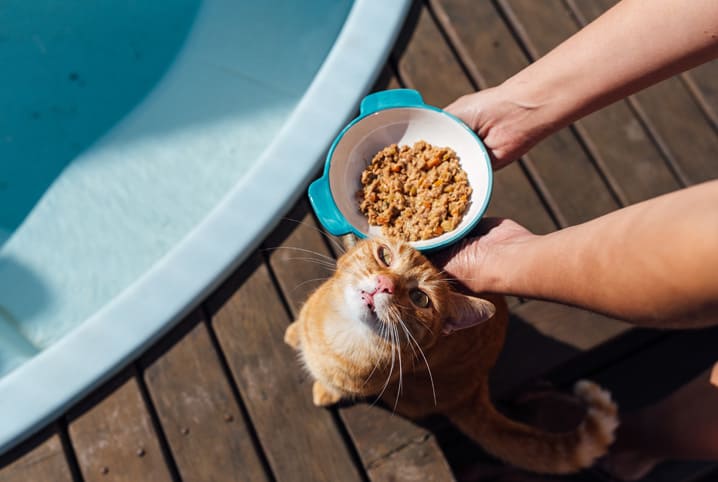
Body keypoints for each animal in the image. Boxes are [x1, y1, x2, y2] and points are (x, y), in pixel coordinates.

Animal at [286, 237, 620, 474]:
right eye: (385, 256)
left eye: (420, 298)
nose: (384, 285)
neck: (341, 333)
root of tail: (474, 389)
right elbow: (299, 330)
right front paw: (293, 333)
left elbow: (333, 387)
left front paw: (323, 393)